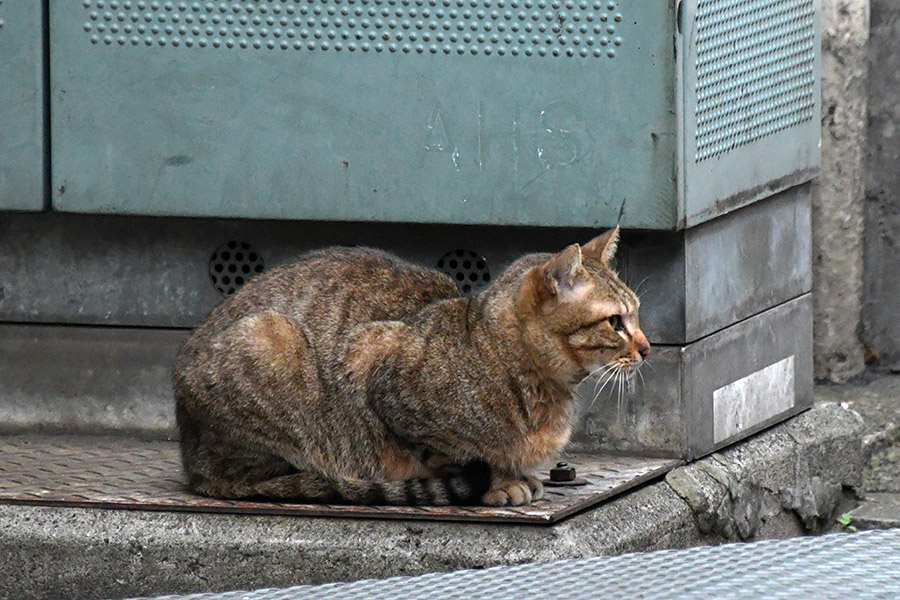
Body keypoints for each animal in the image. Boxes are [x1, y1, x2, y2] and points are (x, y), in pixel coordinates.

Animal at [172, 227, 652, 508]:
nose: (647, 349)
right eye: (615, 322)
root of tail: (193, 461)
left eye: (637, 313)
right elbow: (450, 454)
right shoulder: (373, 363)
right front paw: (498, 482)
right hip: (269, 338)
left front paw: (514, 473)